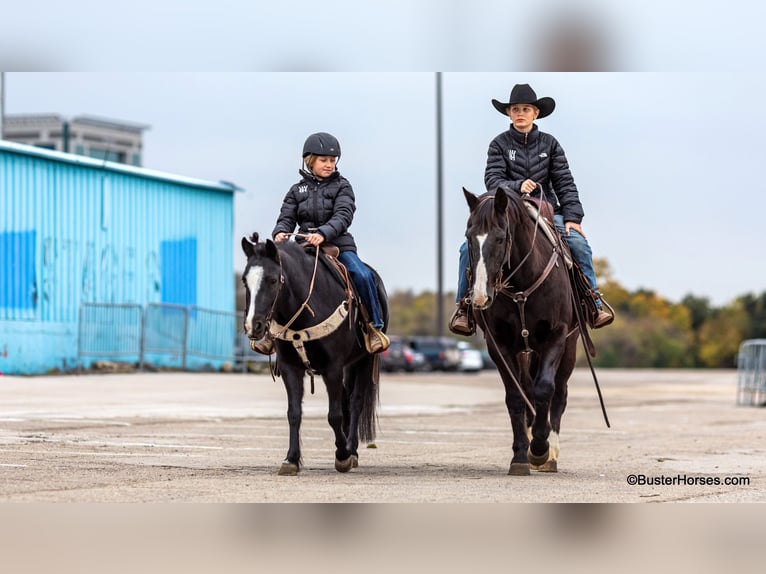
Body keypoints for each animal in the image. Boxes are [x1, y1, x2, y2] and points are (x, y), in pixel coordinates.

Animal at [242, 234, 388, 476]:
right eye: (245, 281)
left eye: (272, 280)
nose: (253, 326)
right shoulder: (290, 367)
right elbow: (294, 413)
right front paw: (291, 459)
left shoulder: (333, 368)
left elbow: (334, 415)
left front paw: (342, 455)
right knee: (347, 400)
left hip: (364, 360)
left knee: (356, 402)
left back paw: (352, 450)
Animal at [462, 189, 584, 476]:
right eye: (468, 236)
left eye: (500, 237)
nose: (481, 296)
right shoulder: (499, 344)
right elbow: (516, 396)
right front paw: (520, 455)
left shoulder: (556, 336)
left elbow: (545, 390)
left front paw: (540, 449)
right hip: (526, 351)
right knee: (528, 389)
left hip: (569, 348)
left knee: (559, 394)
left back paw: (551, 452)